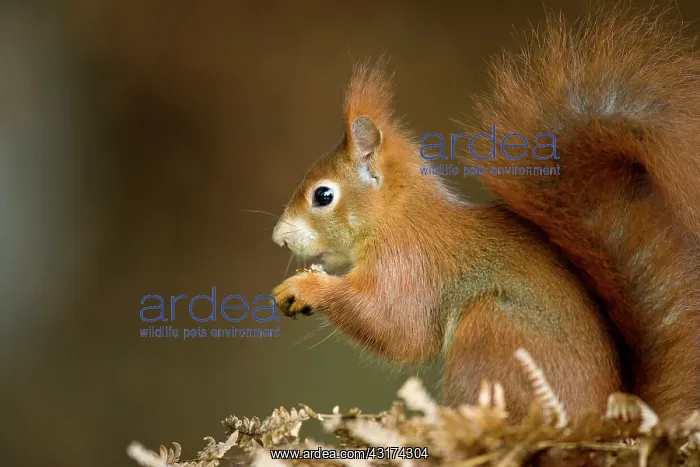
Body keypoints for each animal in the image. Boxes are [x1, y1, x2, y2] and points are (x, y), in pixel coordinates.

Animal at [271, 6, 700, 423]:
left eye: (323, 195)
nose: (279, 237)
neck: (398, 214)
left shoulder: (409, 264)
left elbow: (398, 328)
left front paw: (305, 287)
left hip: (491, 332)